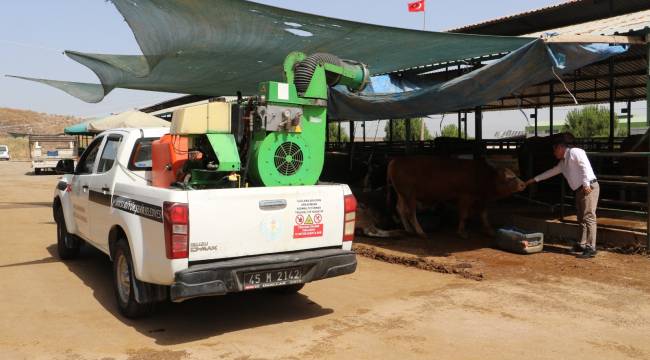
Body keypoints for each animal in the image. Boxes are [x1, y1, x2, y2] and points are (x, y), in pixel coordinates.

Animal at [388, 155, 524, 238]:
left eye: (514, 174)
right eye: (508, 177)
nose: (523, 184)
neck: (481, 175)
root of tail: (396, 160)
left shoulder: (481, 200)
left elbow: (483, 215)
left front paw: (489, 230)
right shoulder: (465, 197)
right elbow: (464, 215)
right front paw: (462, 232)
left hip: (401, 194)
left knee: (400, 209)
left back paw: (408, 230)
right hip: (409, 194)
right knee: (410, 213)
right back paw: (420, 232)